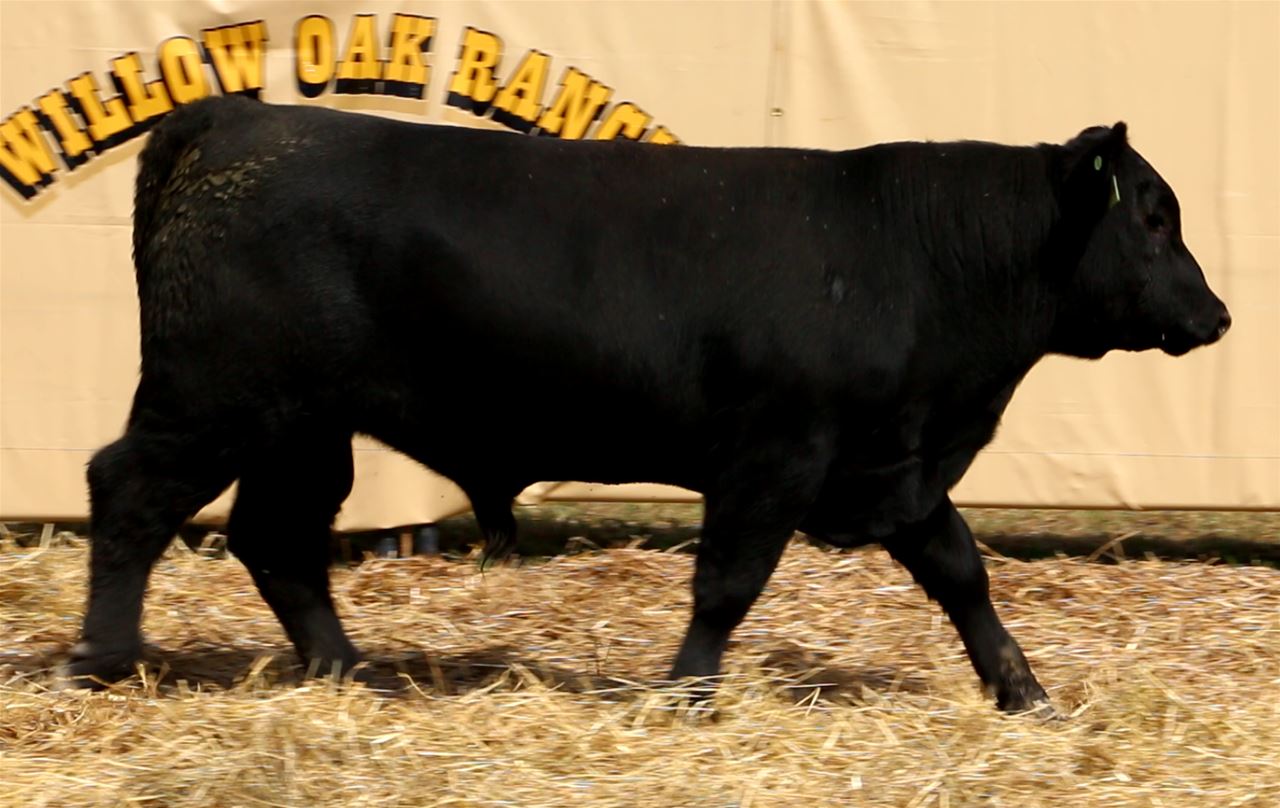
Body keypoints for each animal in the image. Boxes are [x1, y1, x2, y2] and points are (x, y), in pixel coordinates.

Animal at [65, 96, 1230, 715]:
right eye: (1153, 215)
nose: (1216, 314)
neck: (911, 257)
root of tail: (239, 115)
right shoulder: (770, 459)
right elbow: (726, 586)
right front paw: (688, 695)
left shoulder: (890, 468)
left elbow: (962, 575)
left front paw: (1020, 689)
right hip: (210, 401)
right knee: (127, 494)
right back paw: (104, 661)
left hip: (302, 428)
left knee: (279, 541)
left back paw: (349, 673)